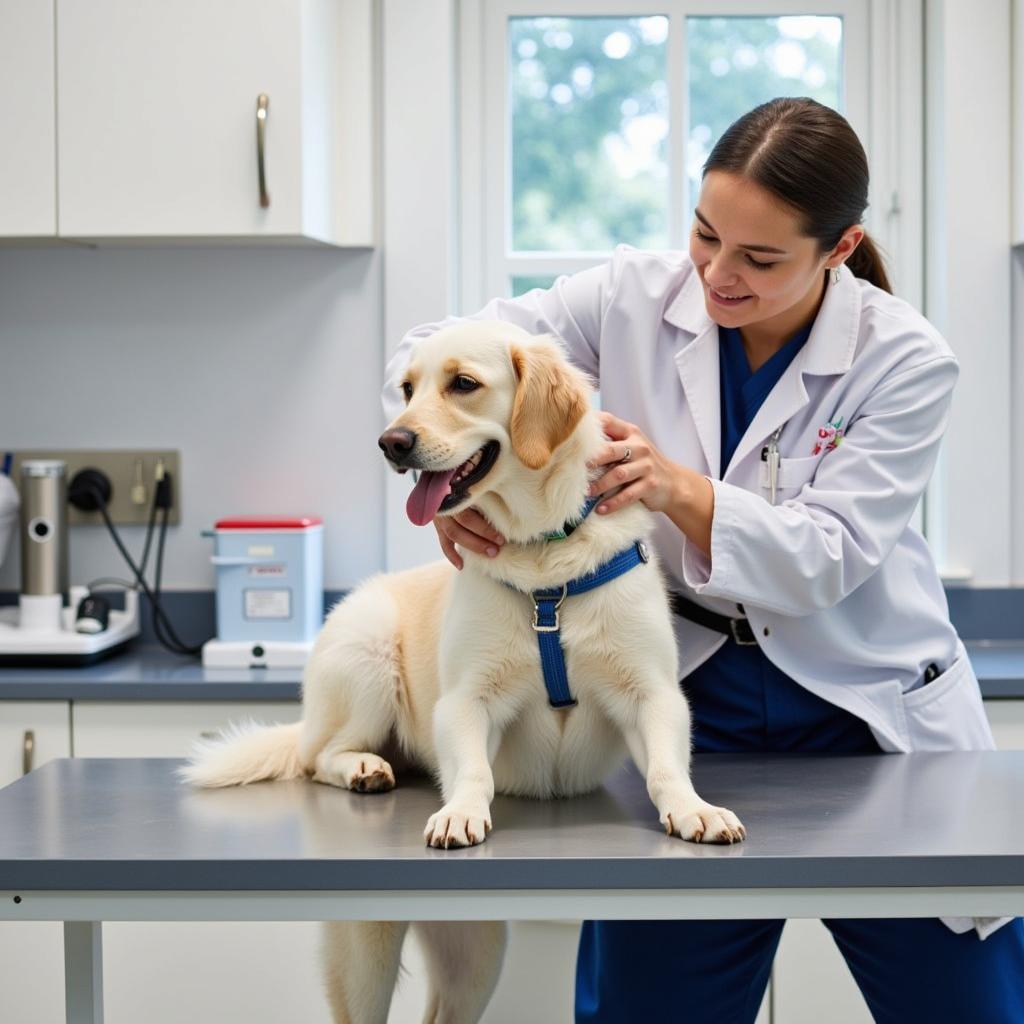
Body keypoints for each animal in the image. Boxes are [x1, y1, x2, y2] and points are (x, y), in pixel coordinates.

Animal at [182, 321, 745, 1024]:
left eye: (464, 384)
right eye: (406, 388)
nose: (391, 442)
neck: (545, 562)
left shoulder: (654, 695)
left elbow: (669, 770)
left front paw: (696, 811)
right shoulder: (464, 703)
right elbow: (473, 769)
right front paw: (459, 815)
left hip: (476, 955)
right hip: (367, 660)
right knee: (318, 757)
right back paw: (365, 768)